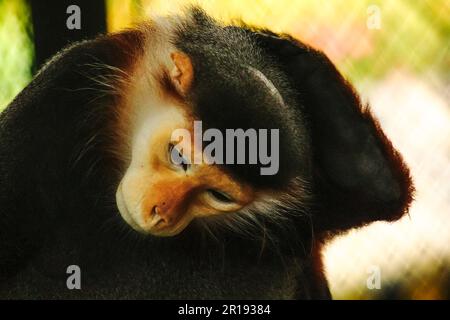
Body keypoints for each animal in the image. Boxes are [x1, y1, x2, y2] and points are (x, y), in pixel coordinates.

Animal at [0, 8, 414, 300]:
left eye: (217, 194)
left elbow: (378, 192)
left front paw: (284, 51)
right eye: (180, 159)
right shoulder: (64, 87)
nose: (162, 213)